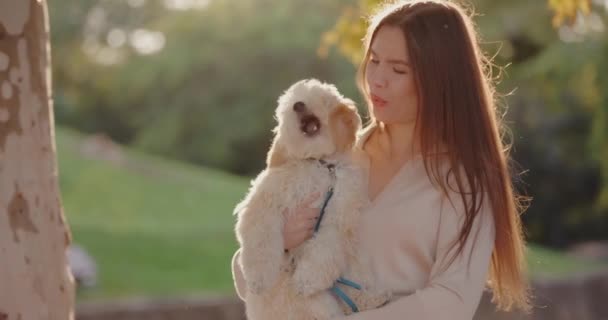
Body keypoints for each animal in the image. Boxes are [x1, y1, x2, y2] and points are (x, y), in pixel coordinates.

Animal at [233, 78, 390, 320]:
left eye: (322, 99)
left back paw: (372, 298)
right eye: (290, 104)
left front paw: (306, 280)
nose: (298, 105)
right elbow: (260, 239)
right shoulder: (265, 200)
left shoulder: (338, 215)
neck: (320, 164)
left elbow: (325, 247)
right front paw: (259, 279)